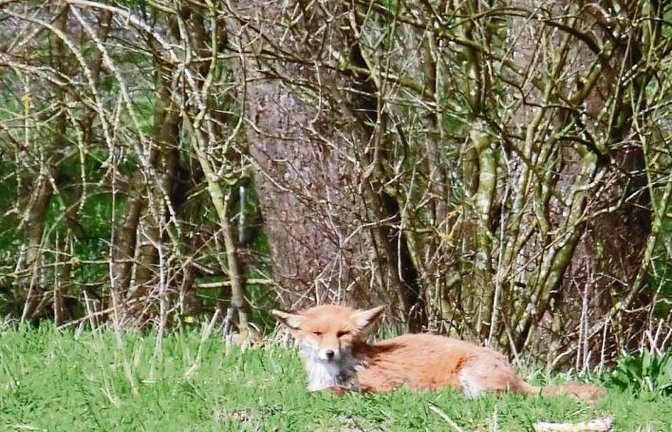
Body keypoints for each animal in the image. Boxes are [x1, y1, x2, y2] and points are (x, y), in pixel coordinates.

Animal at [272, 304, 605, 401]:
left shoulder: (383, 387)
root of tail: (515, 374)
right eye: (317, 334)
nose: (329, 353)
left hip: (472, 375)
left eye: (342, 334)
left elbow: (340, 392)